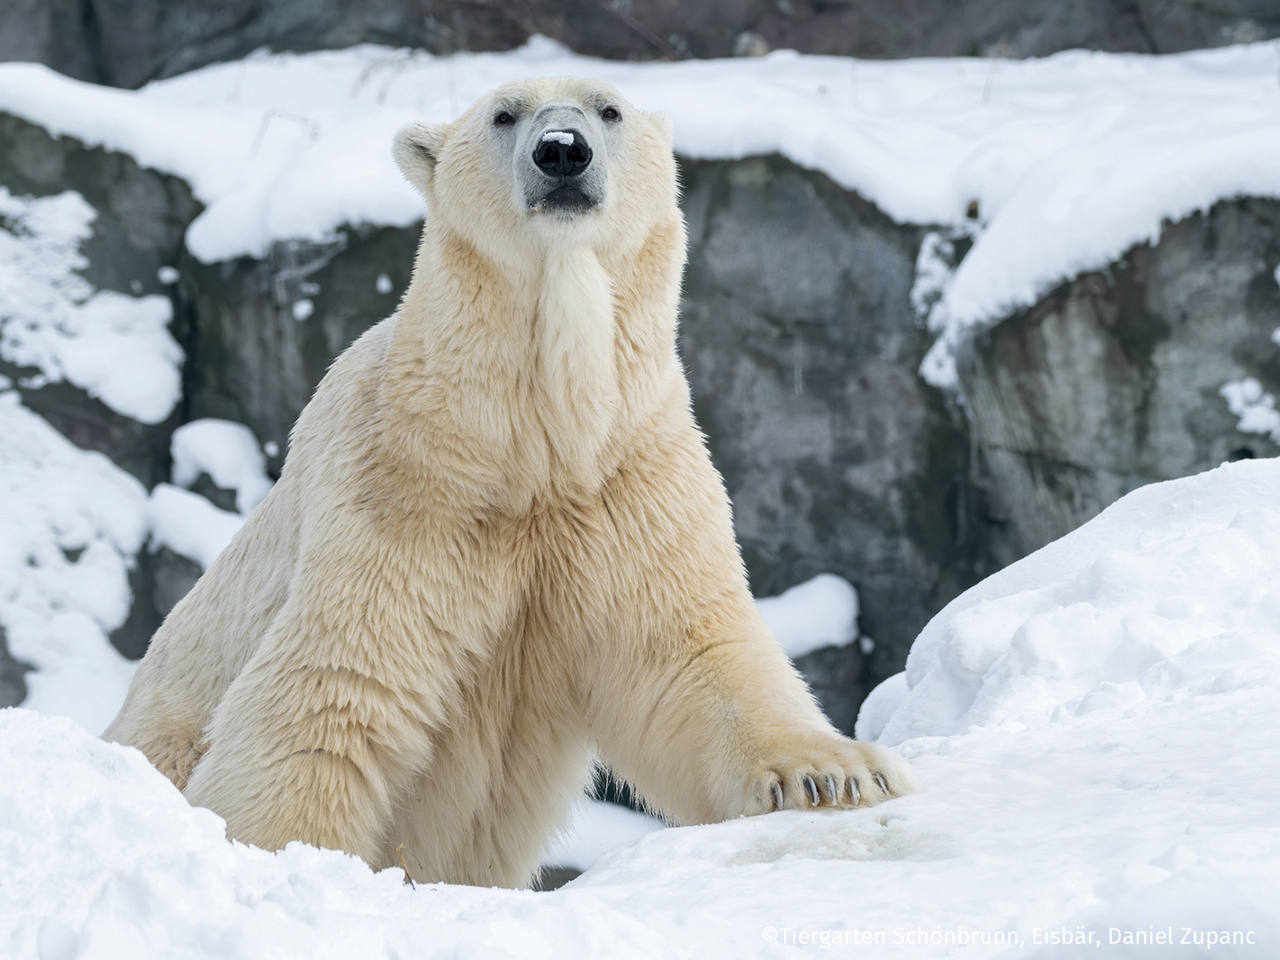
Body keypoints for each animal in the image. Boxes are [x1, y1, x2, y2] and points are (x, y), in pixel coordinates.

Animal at [102, 79, 921, 890]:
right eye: (505, 114)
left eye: (608, 110)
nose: (562, 152)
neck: (533, 451)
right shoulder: (404, 488)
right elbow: (337, 682)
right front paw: (278, 859)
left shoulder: (631, 479)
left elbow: (691, 652)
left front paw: (832, 775)